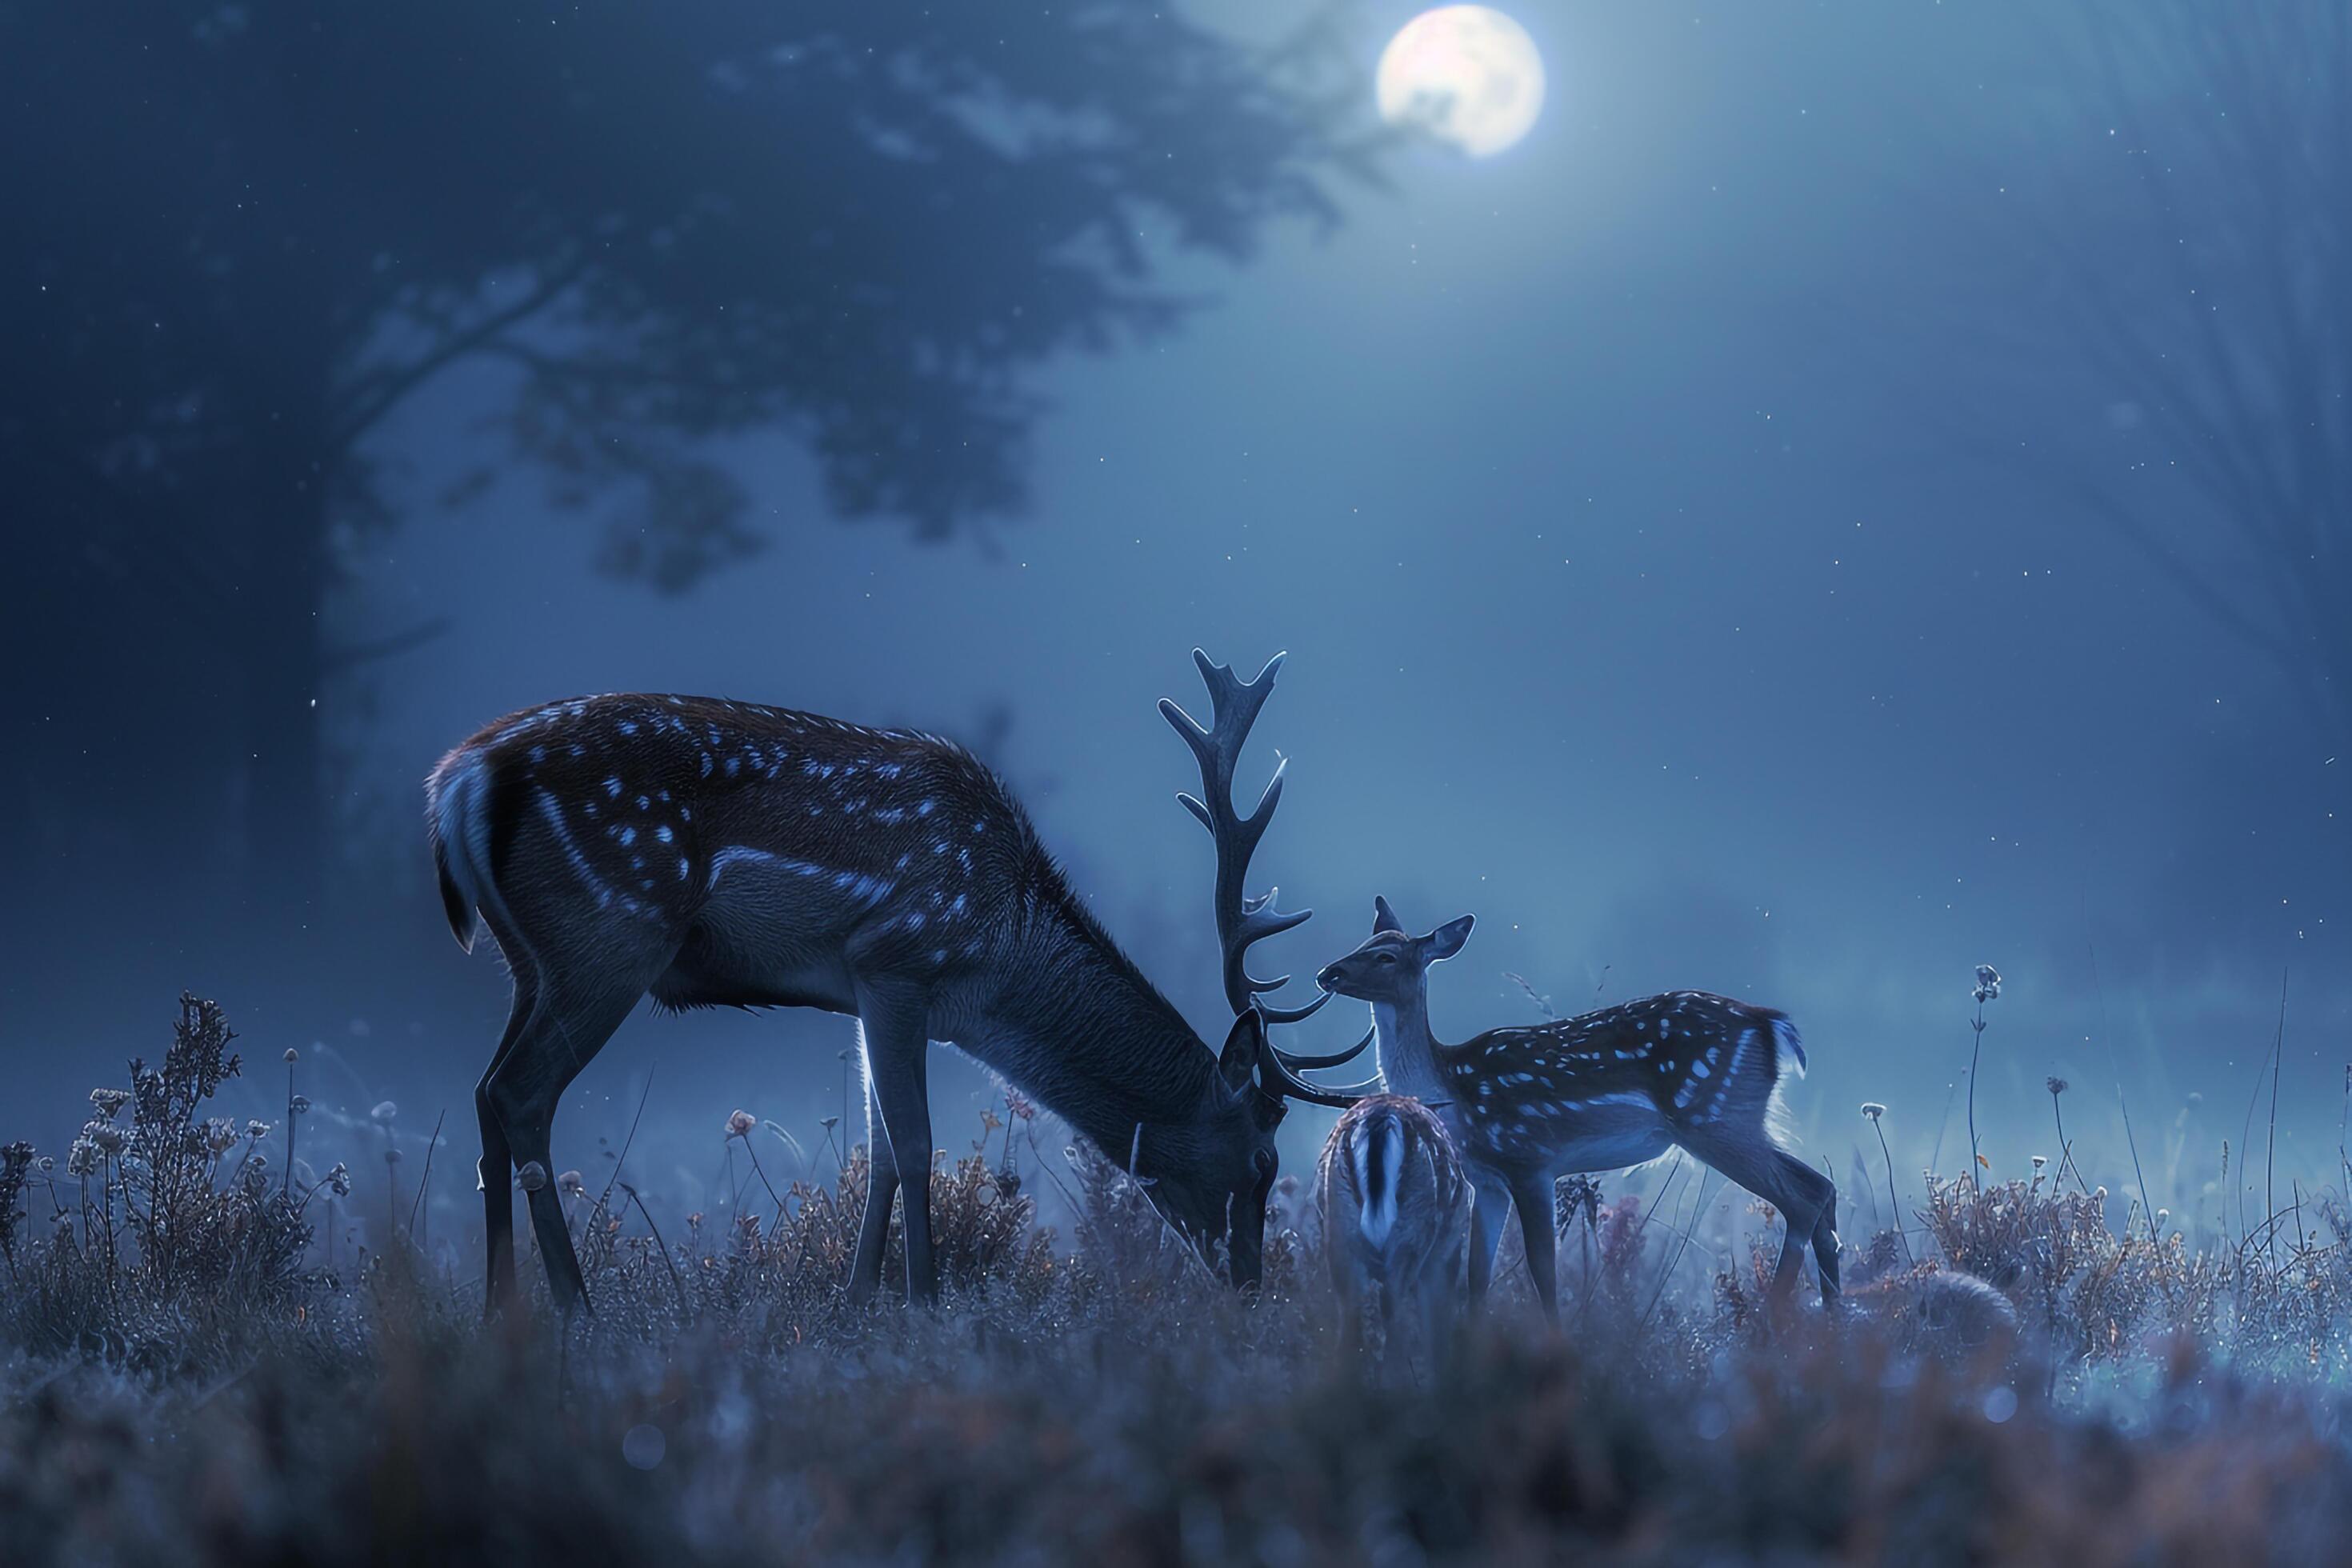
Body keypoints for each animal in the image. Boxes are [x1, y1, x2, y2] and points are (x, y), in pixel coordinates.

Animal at [430, 649, 1373, 1316]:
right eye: (1262, 1159)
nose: (1250, 1286)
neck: (995, 957)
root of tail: (456, 782)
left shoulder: (862, 989)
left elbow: (879, 1147)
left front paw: (856, 1301)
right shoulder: (899, 959)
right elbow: (914, 1144)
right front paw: (924, 1302)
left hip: (532, 961)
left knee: (481, 1092)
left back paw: (497, 1306)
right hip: (610, 934)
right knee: (519, 1094)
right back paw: (574, 1307)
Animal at [1326, 902, 1834, 1316]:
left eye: (1387, 956)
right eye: (1363, 943)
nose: (1328, 973)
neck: (1453, 1094)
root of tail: (1772, 1024)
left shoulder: (1530, 1159)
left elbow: (1542, 1273)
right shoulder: (1486, 1181)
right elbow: (1477, 1279)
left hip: (1711, 1115)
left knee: (1804, 1198)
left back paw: (1772, 1323)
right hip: (1741, 1116)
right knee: (1822, 1186)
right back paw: (1831, 1317)